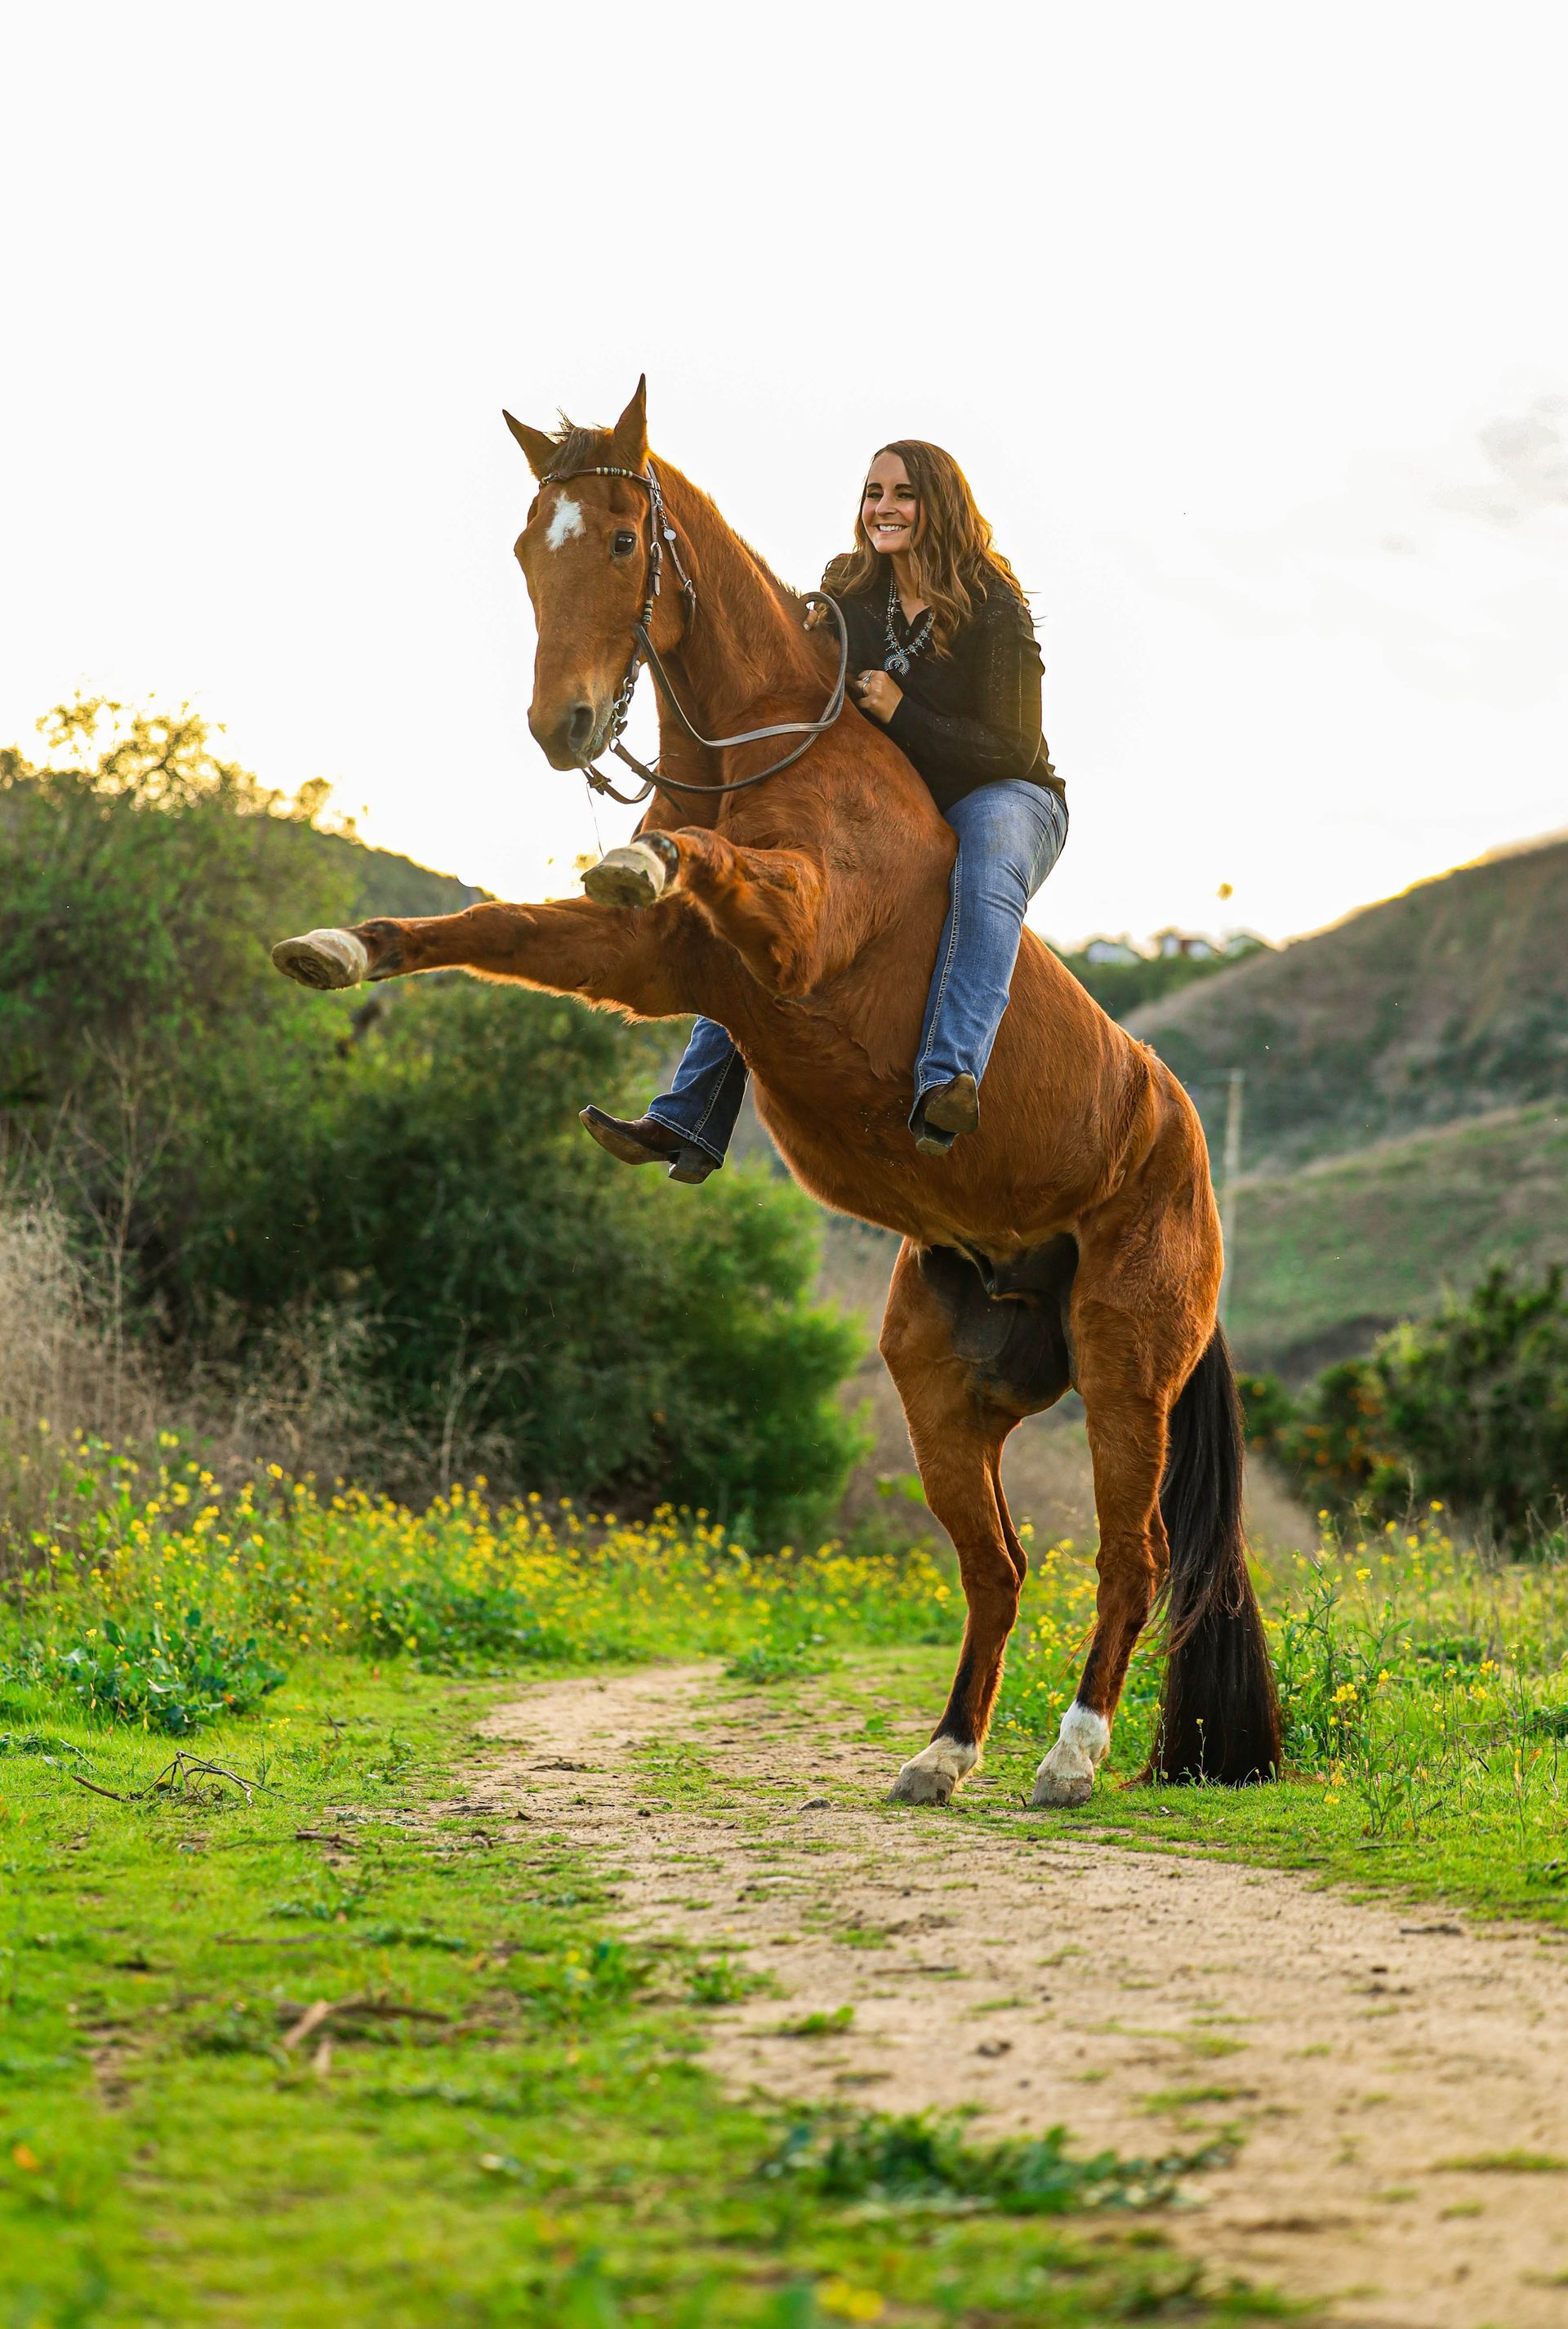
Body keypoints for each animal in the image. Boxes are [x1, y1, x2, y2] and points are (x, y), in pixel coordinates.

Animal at [272, 378, 1281, 1808]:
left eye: (624, 541)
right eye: (527, 545)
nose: (561, 729)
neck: (774, 759)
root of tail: (1184, 1146)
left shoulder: (790, 936)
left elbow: (700, 860)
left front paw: (639, 849)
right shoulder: (656, 970)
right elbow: (494, 923)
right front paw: (343, 949)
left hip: (1126, 1366)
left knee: (1130, 1557)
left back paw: (1068, 1758)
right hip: (945, 1388)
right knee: (998, 1567)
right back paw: (942, 1753)